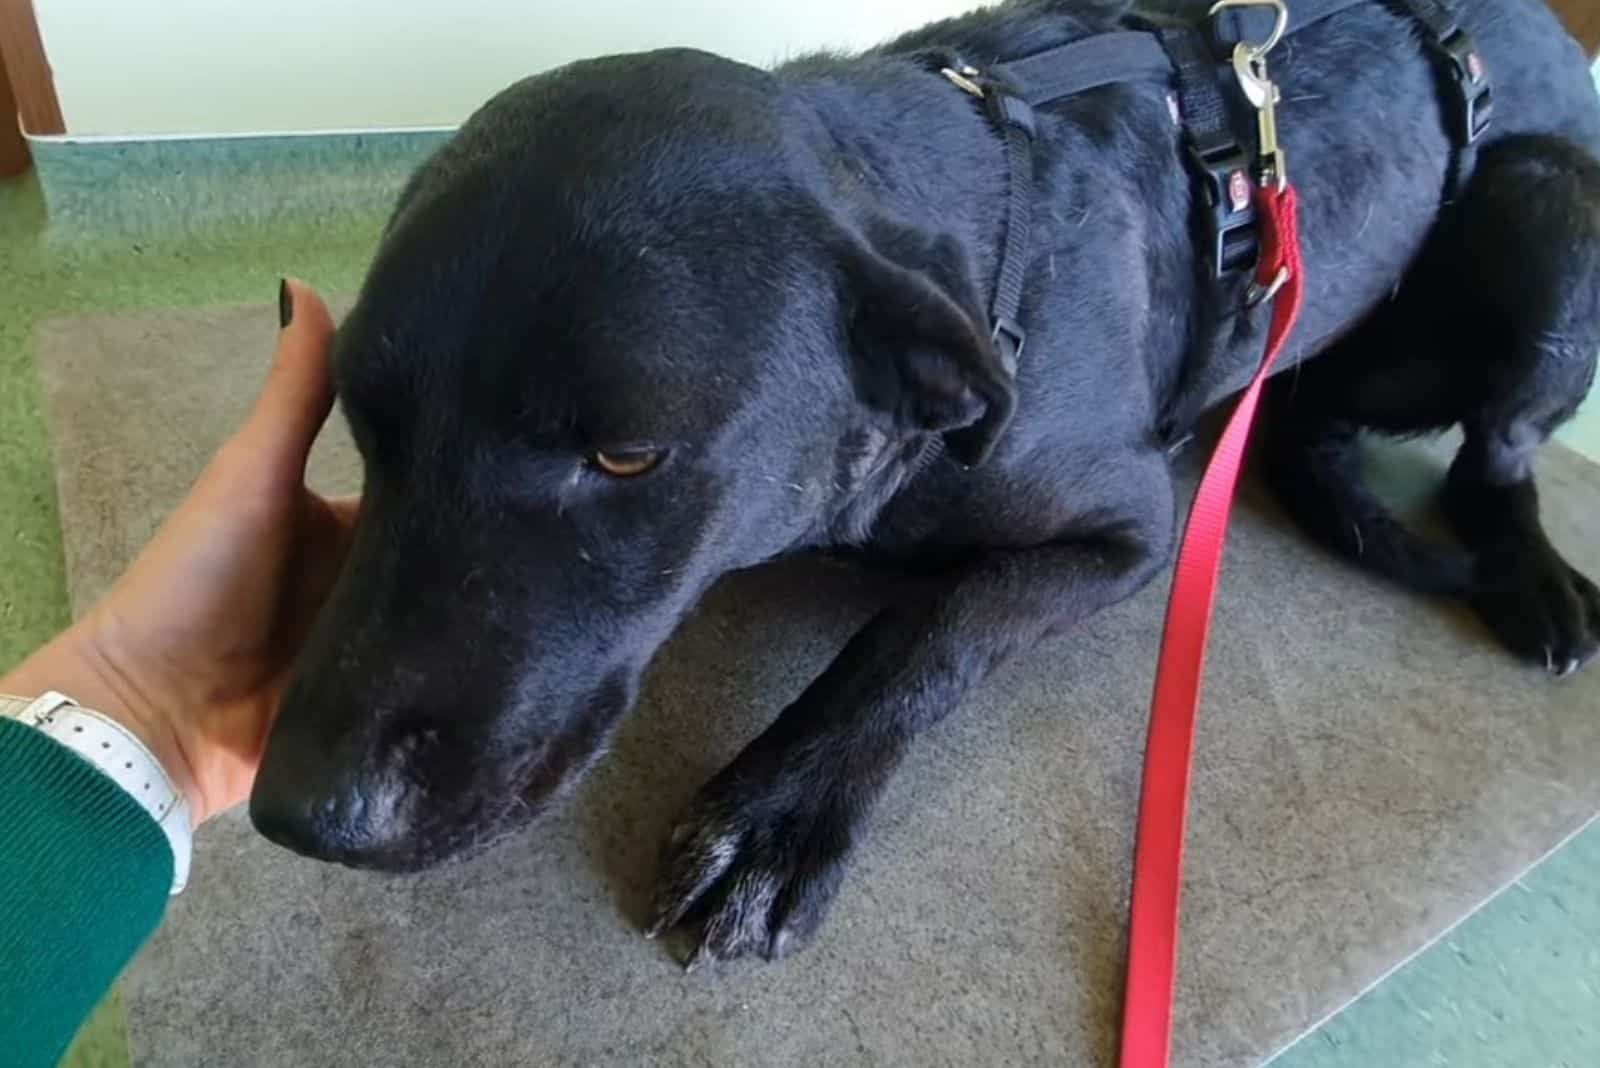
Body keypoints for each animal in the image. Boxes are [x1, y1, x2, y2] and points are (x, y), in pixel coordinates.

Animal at [249, 0, 1600, 965]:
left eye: (625, 456)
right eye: (366, 425)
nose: (303, 813)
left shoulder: (1128, 526)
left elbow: (929, 627)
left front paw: (780, 811)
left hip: (1554, 218)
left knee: (1493, 455)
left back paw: (1528, 575)